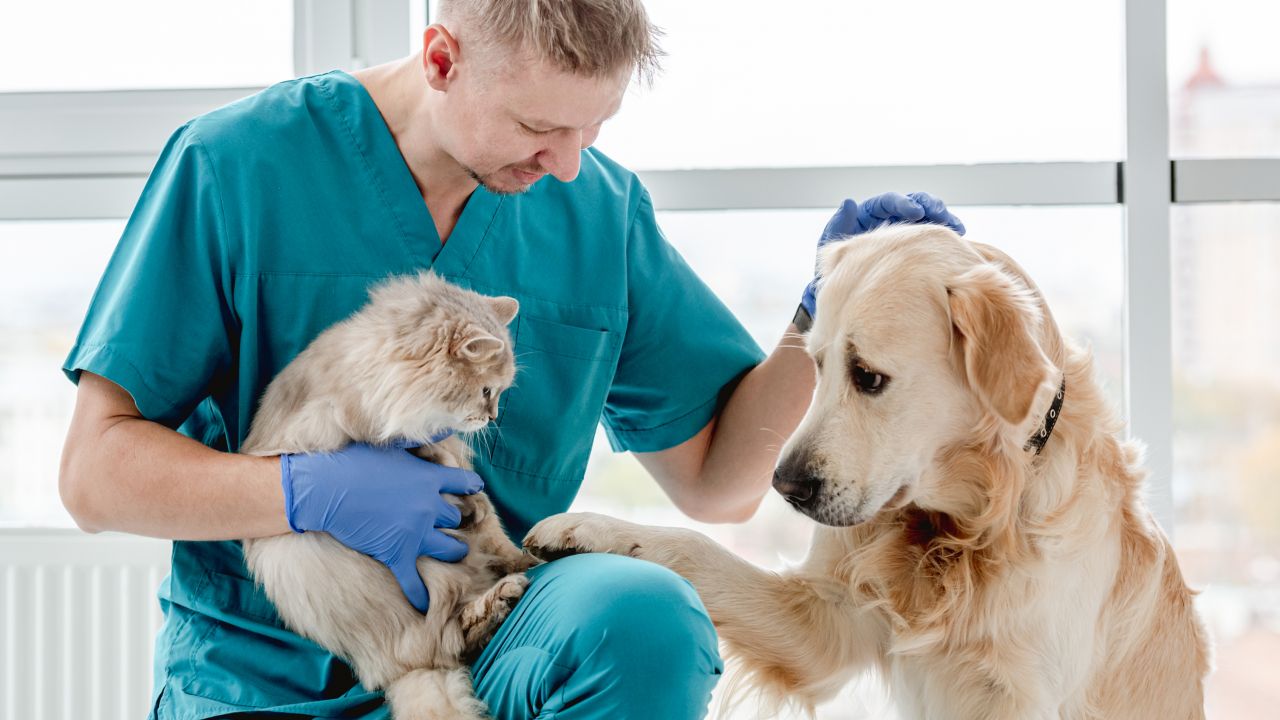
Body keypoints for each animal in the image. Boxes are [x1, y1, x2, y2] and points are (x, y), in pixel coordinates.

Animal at [240, 270, 540, 717]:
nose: (492, 417)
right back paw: (499, 599)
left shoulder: (457, 465)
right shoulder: (328, 429)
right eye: (488, 391)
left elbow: (484, 513)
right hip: (398, 574)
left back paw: (525, 571)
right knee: (443, 639)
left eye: (499, 394)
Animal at [519, 224, 1208, 717]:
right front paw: (589, 528)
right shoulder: (824, 621)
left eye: (868, 376)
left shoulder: (1020, 691)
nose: (785, 487)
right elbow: (692, 546)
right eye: (816, 365)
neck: (965, 528)